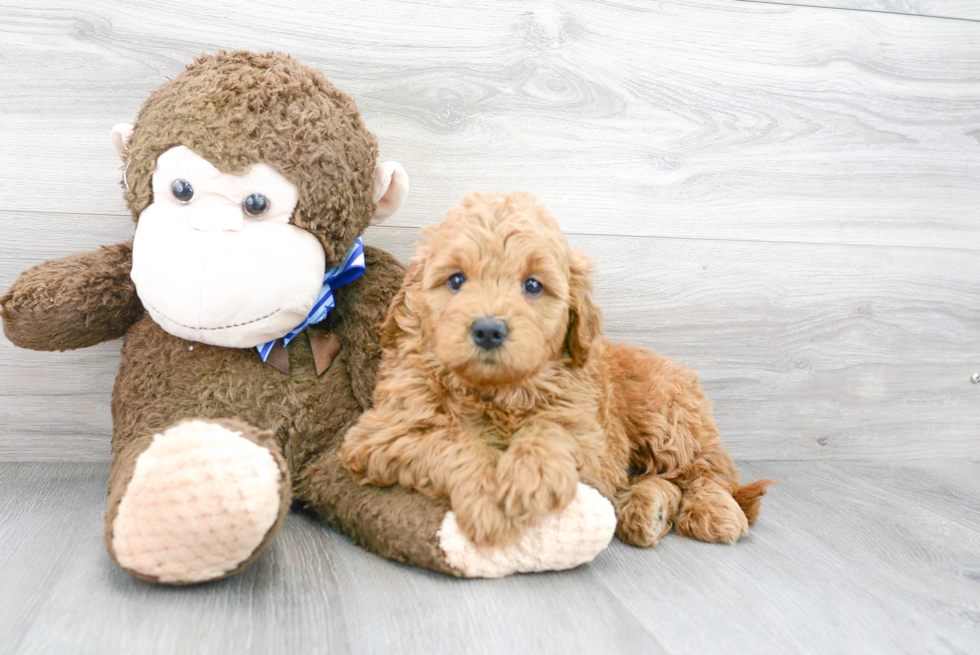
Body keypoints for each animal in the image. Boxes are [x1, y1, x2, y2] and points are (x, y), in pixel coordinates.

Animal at [344, 193, 772, 548]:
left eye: (532, 285)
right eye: (456, 280)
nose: (488, 330)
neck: (495, 391)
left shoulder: (593, 445)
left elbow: (552, 428)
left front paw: (530, 475)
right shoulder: (383, 431)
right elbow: (452, 441)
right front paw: (488, 502)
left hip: (668, 417)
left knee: (708, 470)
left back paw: (711, 512)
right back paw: (647, 510)